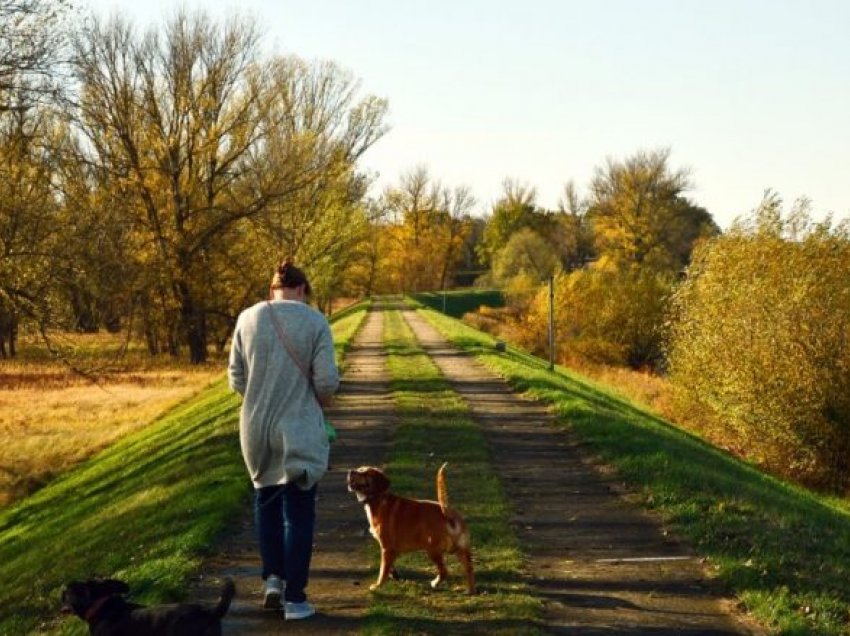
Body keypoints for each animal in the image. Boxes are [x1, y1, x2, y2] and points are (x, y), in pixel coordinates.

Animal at [348, 462, 474, 592]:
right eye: (359, 469)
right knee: (469, 569)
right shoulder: (390, 550)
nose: (350, 471)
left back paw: (434, 583)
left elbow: (383, 569)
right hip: (461, 550)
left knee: (444, 571)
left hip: (432, 550)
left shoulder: (386, 548)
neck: (378, 499)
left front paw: (378, 585)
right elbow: (389, 566)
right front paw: (394, 575)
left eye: (366, 473)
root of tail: (447, 513)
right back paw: (470, 590)